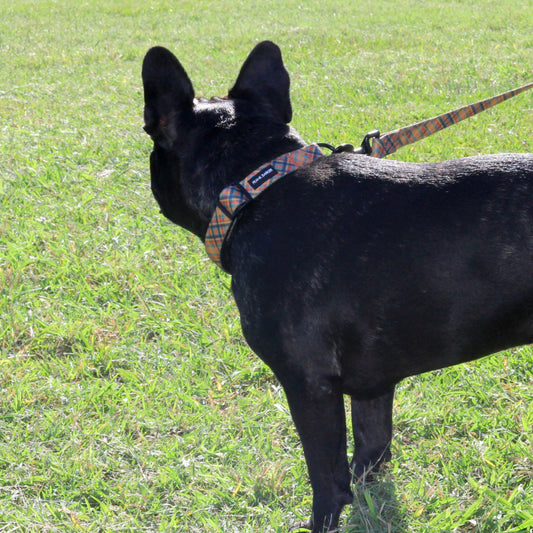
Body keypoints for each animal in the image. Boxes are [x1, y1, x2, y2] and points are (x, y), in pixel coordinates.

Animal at [141, 42, 532, 532]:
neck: (254, 187)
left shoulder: (308, 385)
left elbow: (326, 477)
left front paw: (322, 520)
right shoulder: (373, 386)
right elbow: (371, 449)